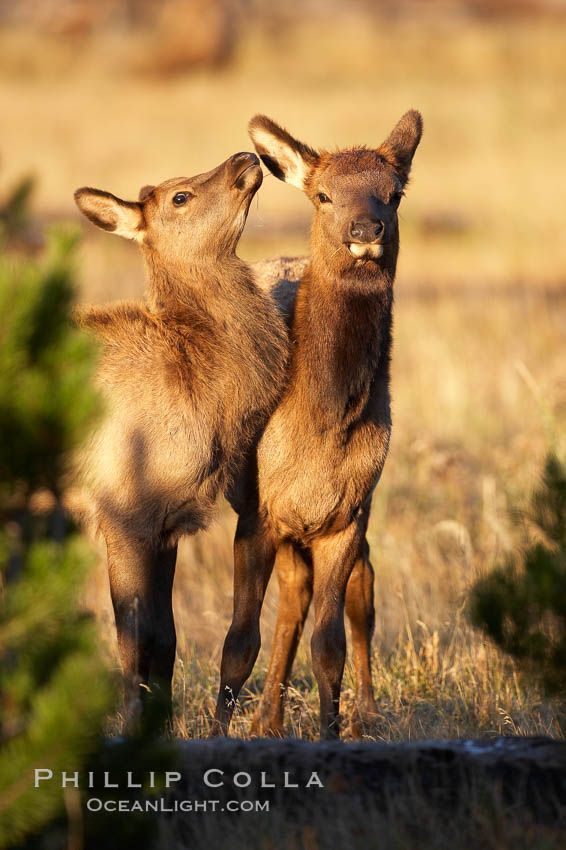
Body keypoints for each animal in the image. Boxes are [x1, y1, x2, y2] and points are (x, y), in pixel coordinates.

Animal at [73, 152, 290, 724]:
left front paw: (165, 721)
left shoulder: (167, 523)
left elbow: (167, 640)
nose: (245, 157)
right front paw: (133, 722)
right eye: (180, 197)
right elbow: (132, 640)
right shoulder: (122, 512)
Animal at [215, 111, 424, 736]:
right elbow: (238, 643)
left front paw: (334, 732)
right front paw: (217, 730)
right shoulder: (259, 513)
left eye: (395, 193)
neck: (323, 423)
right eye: (324, 194)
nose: (366, 227)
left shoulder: (346, 515)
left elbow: (329, 644)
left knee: (359, 592)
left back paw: (364, 714)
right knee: (292, 599)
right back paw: (266, 721)